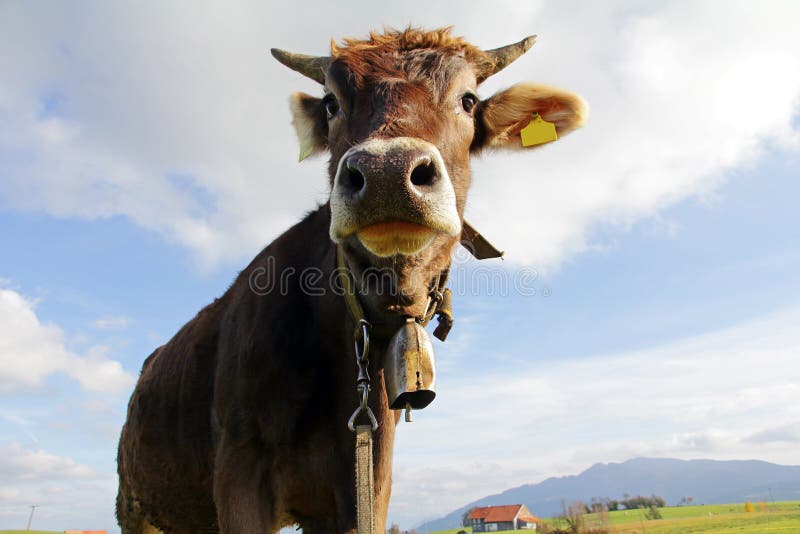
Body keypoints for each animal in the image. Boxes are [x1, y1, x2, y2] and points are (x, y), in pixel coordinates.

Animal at [115, 27, 584, 532]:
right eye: (331, 103)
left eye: (468, 100)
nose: (387, 173)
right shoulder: (238, 470)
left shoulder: (366, 482)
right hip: (136, 505)